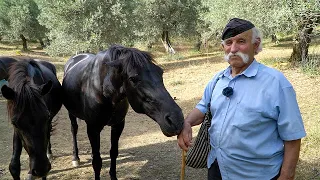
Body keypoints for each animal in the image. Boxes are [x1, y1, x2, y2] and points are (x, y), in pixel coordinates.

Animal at [61, 44, 184, 179]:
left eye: (160, 72)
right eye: (133, 78)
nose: (176, 120)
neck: (103, 89)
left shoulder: (118, 125)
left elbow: (113, 153)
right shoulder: (93, 129)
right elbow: (97, 162)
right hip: (71, 114)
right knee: (74, 130)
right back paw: (75, 158)